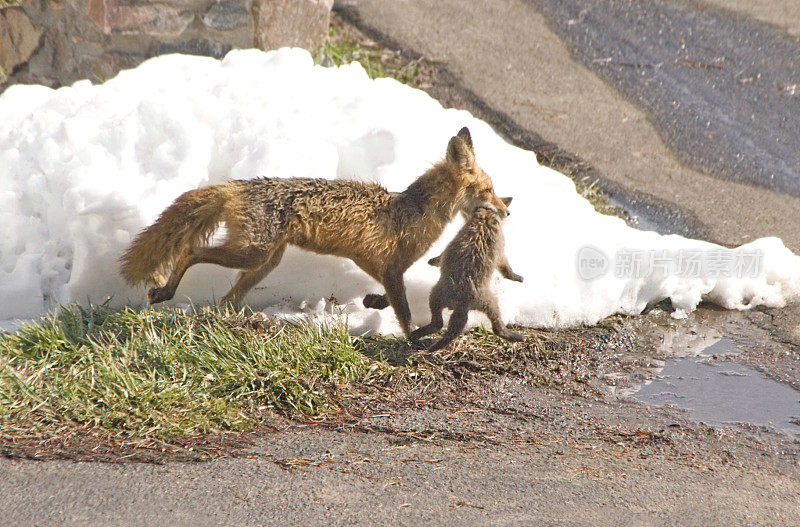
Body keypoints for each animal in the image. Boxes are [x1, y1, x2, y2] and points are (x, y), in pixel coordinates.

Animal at [120, 127, 506, 338]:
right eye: (488, 190)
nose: (507, 211)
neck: (412, 213)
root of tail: (238, 185)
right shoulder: (391, 268)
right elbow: (406, 314)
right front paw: (413, 340)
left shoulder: (382, 268)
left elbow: (389, 300)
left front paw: (373, 304)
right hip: (251, 253)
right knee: (189, 251)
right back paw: (166, 292)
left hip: (263, 262)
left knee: (227, 299)